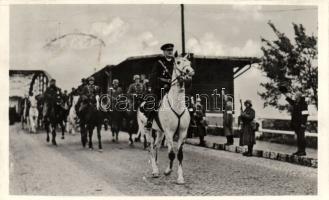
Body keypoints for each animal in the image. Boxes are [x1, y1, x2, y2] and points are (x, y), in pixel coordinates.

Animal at [139, 53, 193, 184]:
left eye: (189, 62)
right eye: (178, 62)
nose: (190, 72)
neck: (177, 105)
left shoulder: (182, 133)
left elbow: (179, 154)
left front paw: (180, 177)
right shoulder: (169, 132)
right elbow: (171, 153)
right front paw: (168, 171)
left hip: (160, 132)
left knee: (156, 146)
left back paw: (157, 166)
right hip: (147, 130)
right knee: (150, 147)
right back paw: (154, 170)